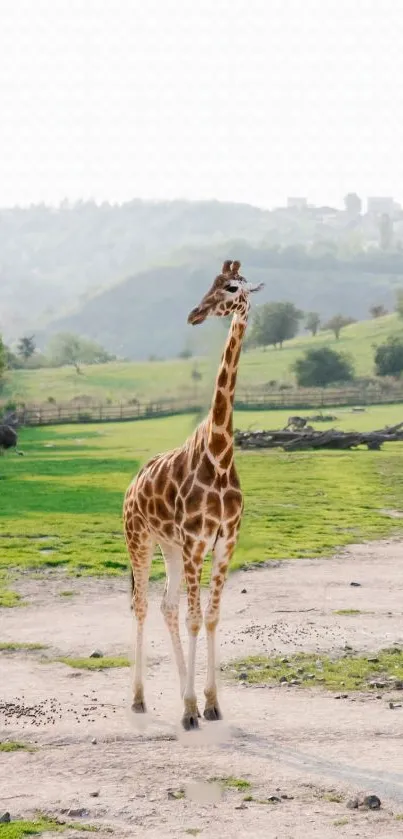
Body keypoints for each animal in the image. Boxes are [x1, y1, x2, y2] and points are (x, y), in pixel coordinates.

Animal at [124, 260, 266, 732]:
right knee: (142, 605)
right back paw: (139, 699)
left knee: (166, 606)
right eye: (210, 283)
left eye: (233, 287)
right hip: (140, 539)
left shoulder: (224, 542)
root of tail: (131, 485)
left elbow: (211, 616)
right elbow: (193, 616)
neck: (220, 455)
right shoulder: (195, 542)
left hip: (168, 546)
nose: (194, 314)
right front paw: (189, 710)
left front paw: (210, 703)